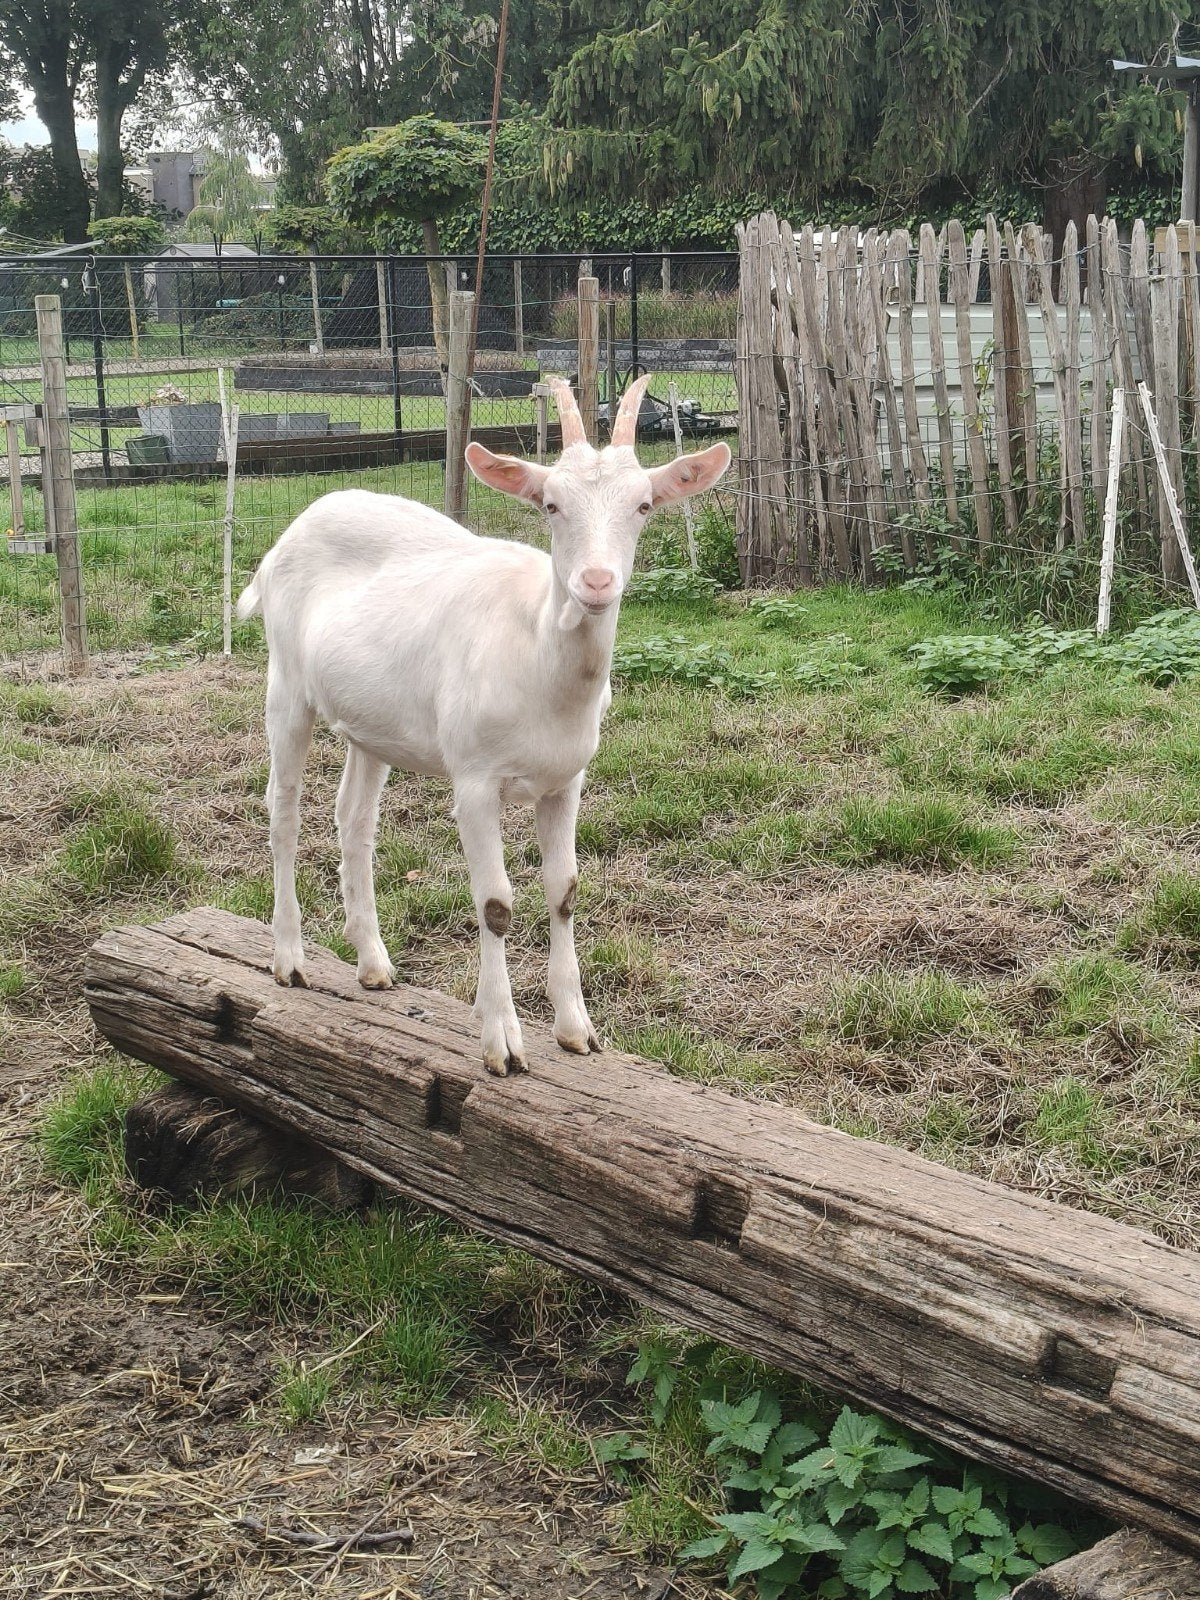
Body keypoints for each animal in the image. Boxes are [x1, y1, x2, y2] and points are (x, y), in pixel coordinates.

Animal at [236, 376, 730, 1074]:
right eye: (550, 504)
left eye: (643, 505)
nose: (596, 581)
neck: (536, 652)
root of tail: (296, 527)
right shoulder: (473, 780)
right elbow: (495, 902)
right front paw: (502, 1042)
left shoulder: (565, 782)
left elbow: (564, 890)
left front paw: (577, 1030)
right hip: (286, 686)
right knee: (283, 810)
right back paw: (289, 960)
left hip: (373, 723)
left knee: (353, 819)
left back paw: (373, 963)